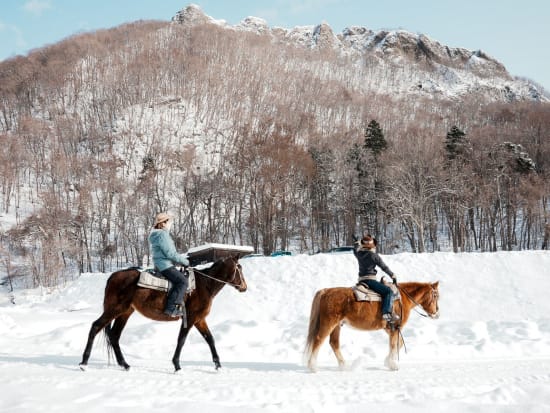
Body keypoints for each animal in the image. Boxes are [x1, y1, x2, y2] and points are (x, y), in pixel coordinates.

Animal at [80, 256, 248, 372]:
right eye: (239, 268)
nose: (244, 287)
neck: (204, 285)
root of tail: (113, 277)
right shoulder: (191, 318)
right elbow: (181, 340)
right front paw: (177, 365)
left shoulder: (199, 319)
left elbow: (210, 339)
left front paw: (218, 365)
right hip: (114, 310)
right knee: (95, 327)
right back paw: (84, 363)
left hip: (125, 312)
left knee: (114, 336)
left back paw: (125, 364)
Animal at [306, 280, 440, 370]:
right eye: (435, 295)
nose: (436, 314)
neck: (402, 299)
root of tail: (326, 291)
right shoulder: (395, 328)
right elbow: (393, 345)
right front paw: (392, 365)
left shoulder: (390, 329)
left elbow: (399, 343)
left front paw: (387, 361)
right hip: (328, 324)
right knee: (318, 340)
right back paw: (312, 366)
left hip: (337, 326)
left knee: (334, 343)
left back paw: (343, 366)